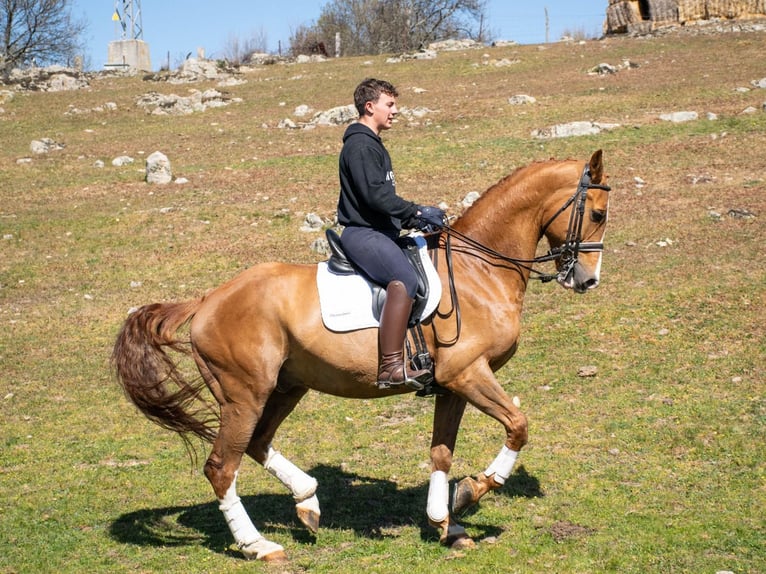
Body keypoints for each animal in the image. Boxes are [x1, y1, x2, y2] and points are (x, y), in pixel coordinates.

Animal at [112, 149, 610, 562]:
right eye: (598, 213)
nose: (587, 280)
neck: (478, 271)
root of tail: (206, 301)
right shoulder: (469, 374)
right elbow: (518, 426)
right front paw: (473, 491)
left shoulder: (451, 385)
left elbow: (441, 453)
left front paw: (446, 524)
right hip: (244, 394)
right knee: (221, 467)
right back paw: (259, 545)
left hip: (287, 386)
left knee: (256, 444)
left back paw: (308, 502)